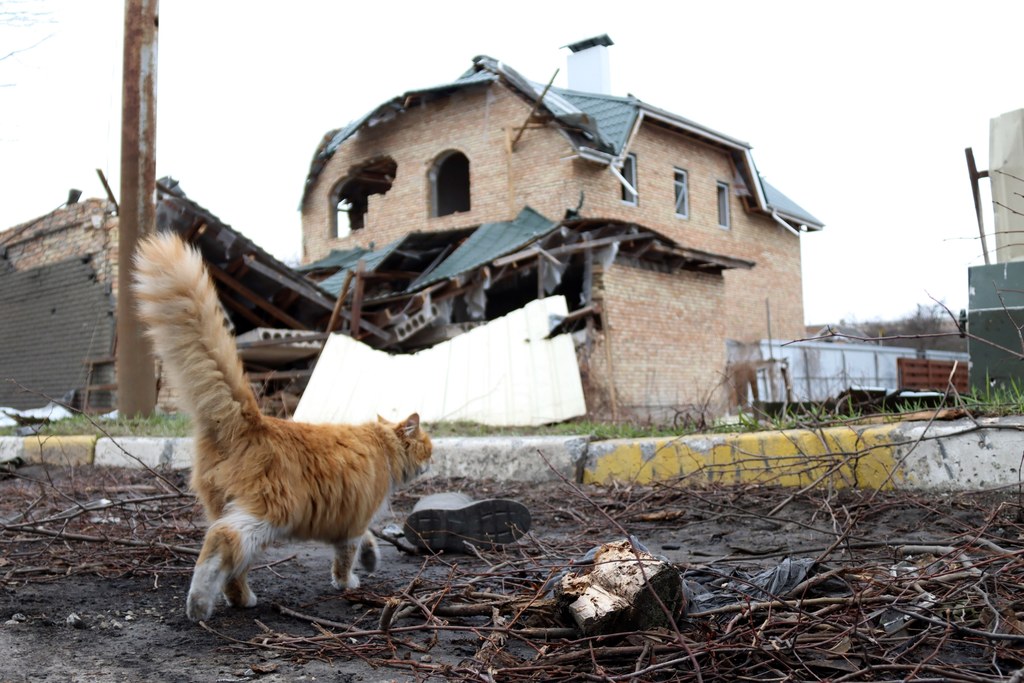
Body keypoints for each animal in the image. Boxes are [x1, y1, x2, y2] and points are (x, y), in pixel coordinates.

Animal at [130, 232, 430, 622]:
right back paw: (199, 604)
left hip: (230, 510)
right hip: (267, 514)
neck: (381, 445)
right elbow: (345, 559)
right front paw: (347, 583)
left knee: (233, 566)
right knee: (221, 542)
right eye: (428, 448)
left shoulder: (350, 520)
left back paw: (239, 599)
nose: (431, 463)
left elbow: (366, 540)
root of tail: (252, 420)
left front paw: (370, 559)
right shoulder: (353, 520)